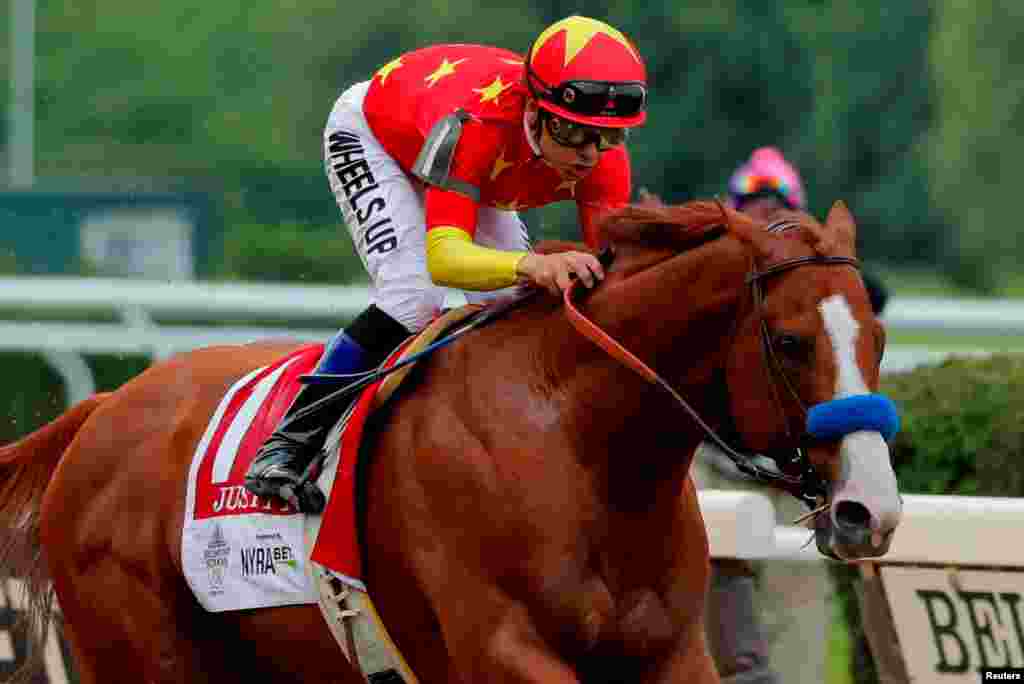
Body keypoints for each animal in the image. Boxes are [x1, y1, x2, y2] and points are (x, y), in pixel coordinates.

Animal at [0, 200, 897, 679]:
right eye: (790, 342)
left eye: (880, 336)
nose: (870, 510)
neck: (577, 444)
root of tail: (103, 407)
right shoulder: (503, 650)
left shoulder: (670, 654)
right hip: (144, 652)